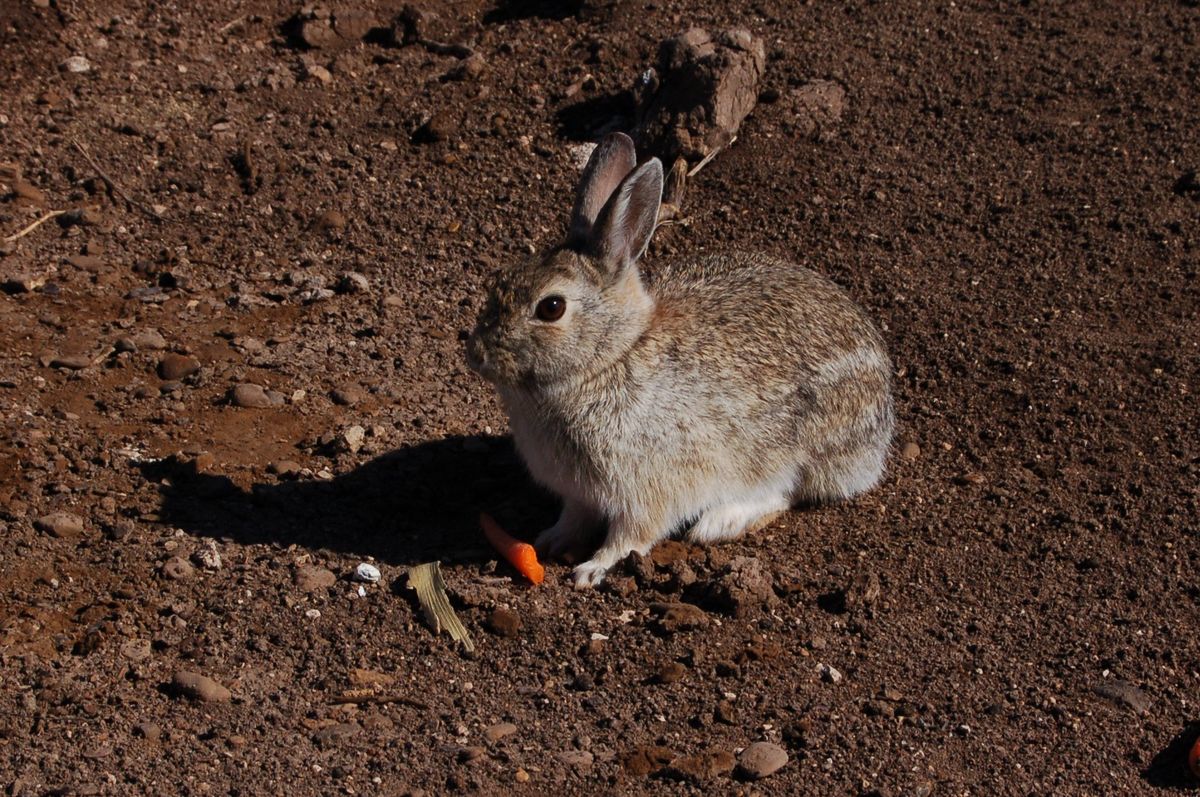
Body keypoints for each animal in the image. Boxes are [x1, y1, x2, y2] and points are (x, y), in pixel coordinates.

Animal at [466, 132, 894, 588]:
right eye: (498, 279)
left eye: (551, 307)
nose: (476, 354)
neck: (612, 357)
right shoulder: (580, 494)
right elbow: (574, 518)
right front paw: (549, 541)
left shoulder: (645, 489)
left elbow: (631, 535)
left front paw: (592, 569)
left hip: (806, 446)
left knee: (786, 492)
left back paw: (720, 522)